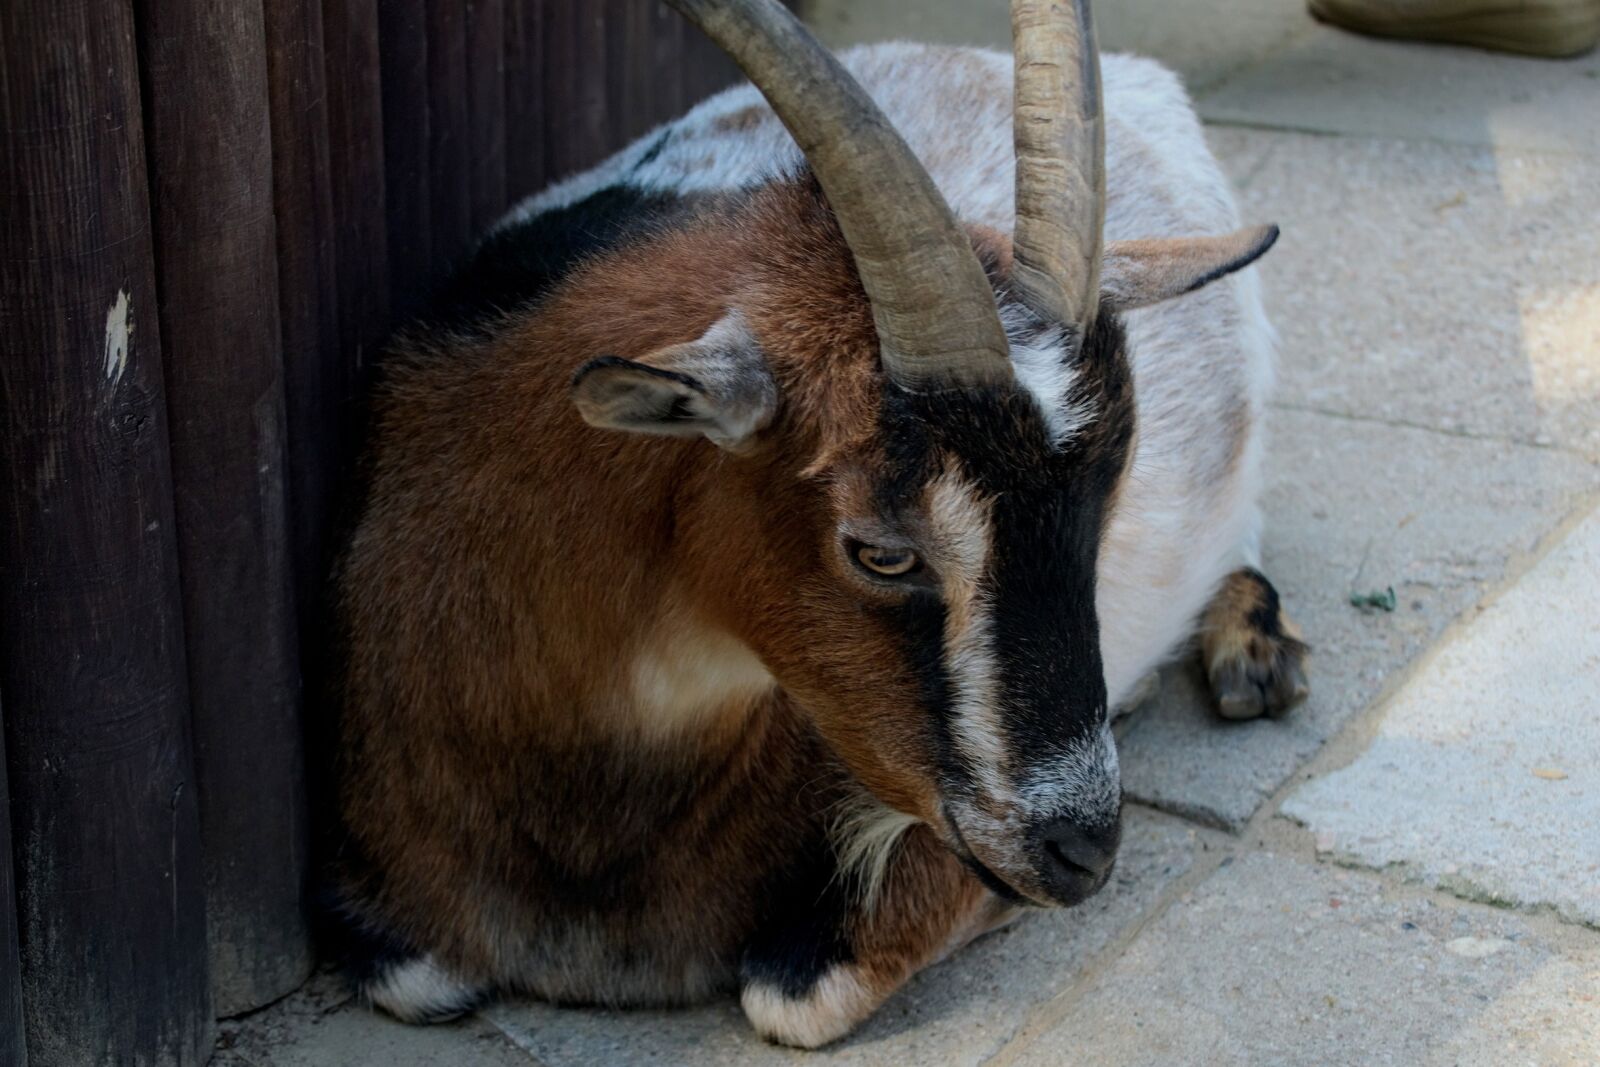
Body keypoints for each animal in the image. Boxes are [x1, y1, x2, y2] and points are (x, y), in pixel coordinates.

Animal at [330, 0, 1310, 1048]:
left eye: (1105, 506)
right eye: (880, 552)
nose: (1083, 849)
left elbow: (795, 994)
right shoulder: (391, 921)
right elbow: (411, 976)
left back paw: (1253, 649)